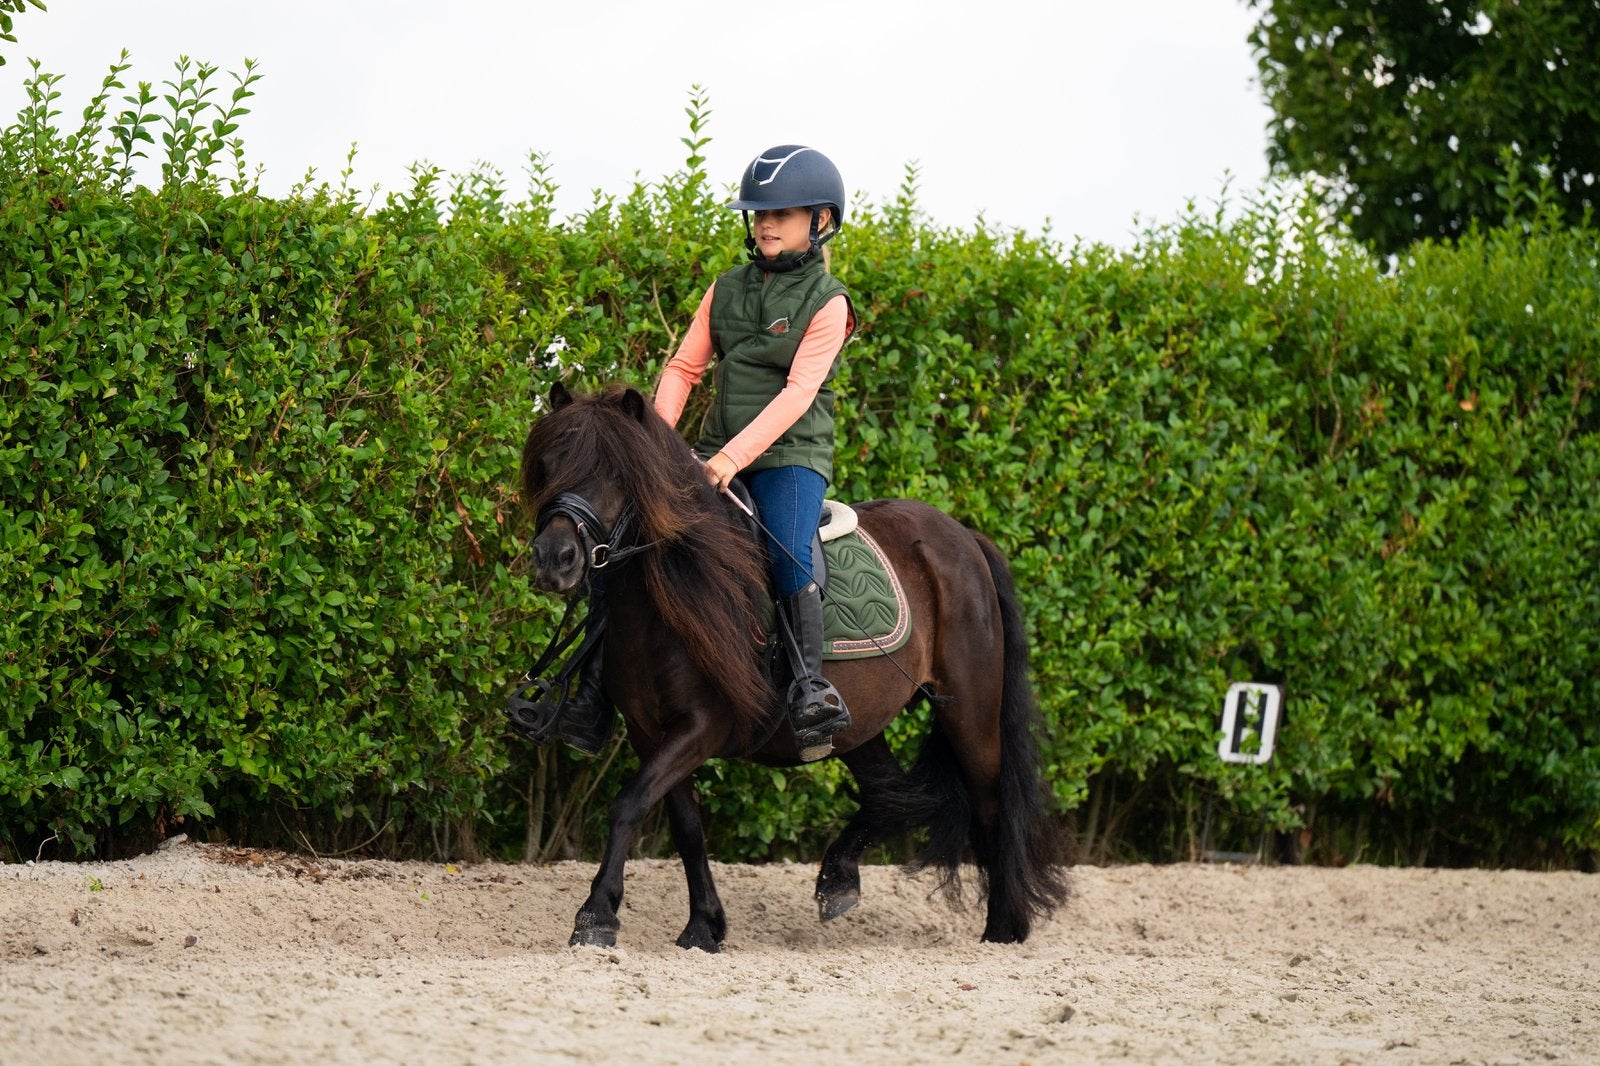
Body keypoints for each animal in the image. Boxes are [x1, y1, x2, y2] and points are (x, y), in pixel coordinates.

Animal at [520, 382, 1068, 949]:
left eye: (616, 472)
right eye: (547, 464)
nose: (553, 558)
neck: (677, 596)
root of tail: (964, 537)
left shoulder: (702, 725)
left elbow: (628, 804)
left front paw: (596, 916)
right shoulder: (651, 732)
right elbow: (685, 826)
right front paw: (703, 925)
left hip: (971, 714)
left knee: (990, 799)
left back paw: (1002, 928)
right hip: (858, 724)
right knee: (896, 796)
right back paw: (838, 880)